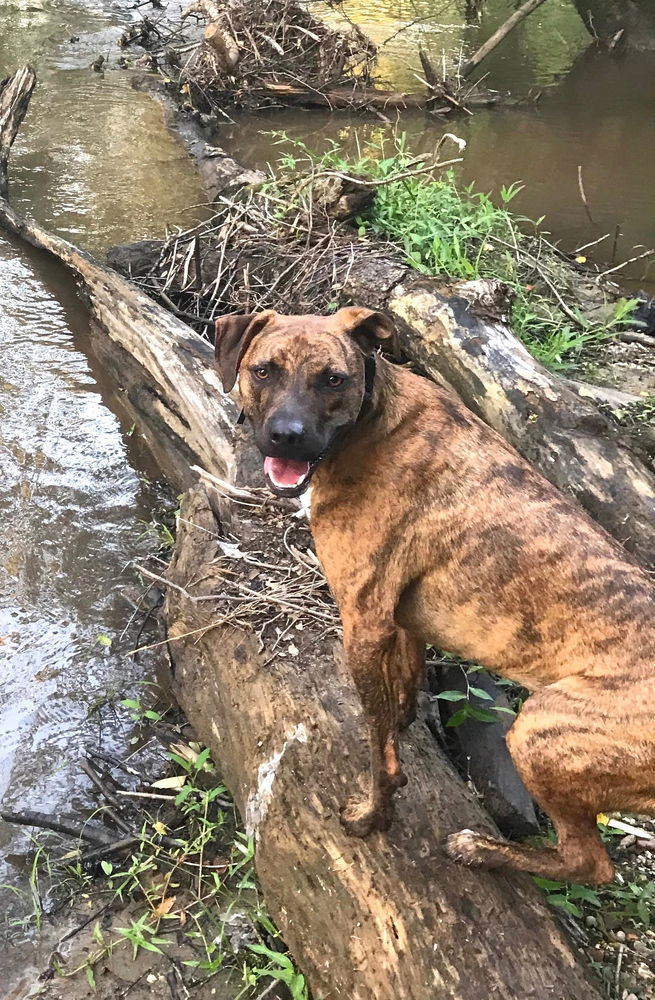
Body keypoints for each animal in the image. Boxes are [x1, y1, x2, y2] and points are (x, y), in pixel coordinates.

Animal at [215, 306, 655, 884]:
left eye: (333, 379)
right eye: (263, 370)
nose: (287, 436)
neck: (372, 423)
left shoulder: (364, 624)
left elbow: (378, 749)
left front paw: (373, 815)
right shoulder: (401, 624)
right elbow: (400, 697)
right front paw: (403, 726)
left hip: (540, 730)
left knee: (589, 863)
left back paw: (481, 850)